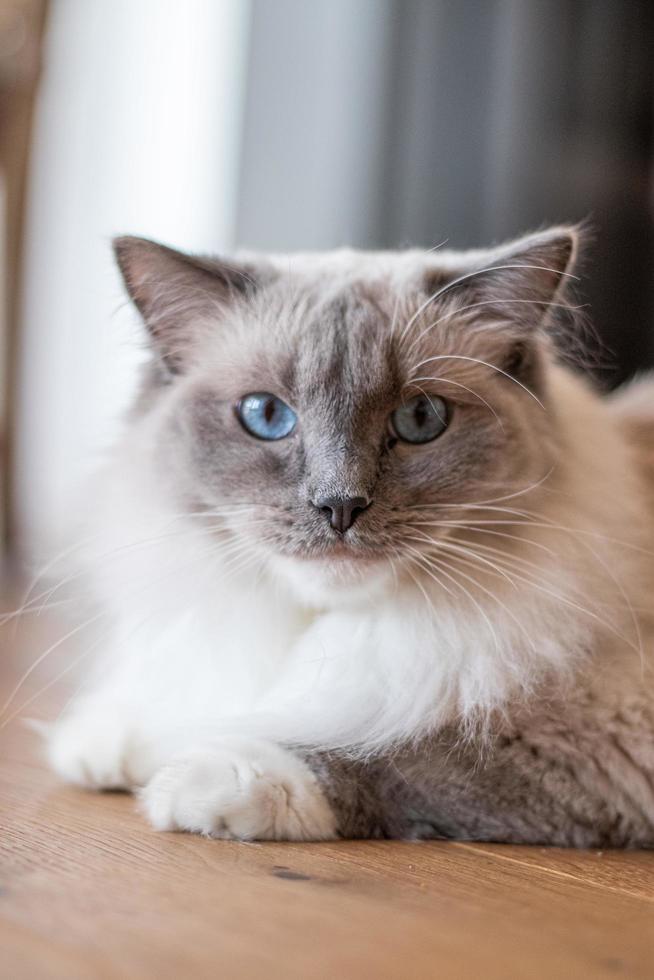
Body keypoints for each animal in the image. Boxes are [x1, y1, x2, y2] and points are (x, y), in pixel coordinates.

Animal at [46, 226, 654, 848]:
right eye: (266, 415)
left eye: (421, 418)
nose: (340, 506)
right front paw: (105, 741)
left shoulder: (606, 731)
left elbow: (387, 751)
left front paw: (209, 781)